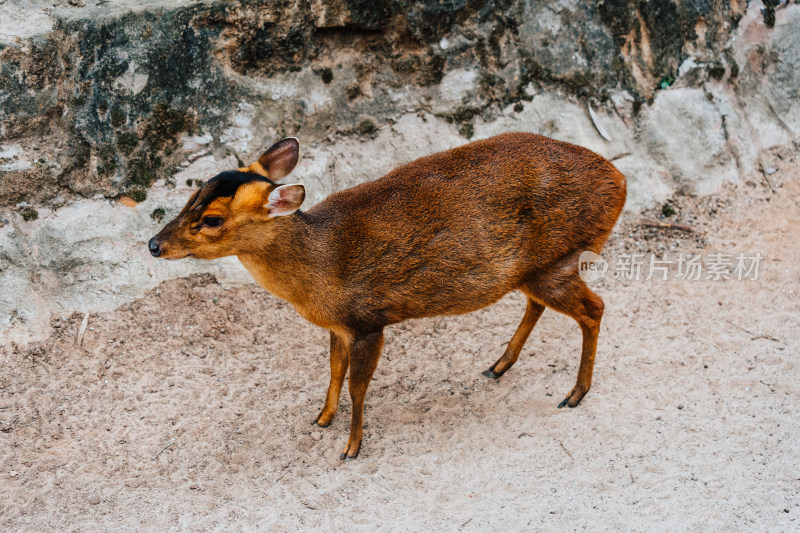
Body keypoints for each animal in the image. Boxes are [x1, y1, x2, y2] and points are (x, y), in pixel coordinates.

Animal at [148, 132, 624, 458]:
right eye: (192, 195)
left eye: (211, 219)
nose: (154, 244)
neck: (320, 268)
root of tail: (619, 179)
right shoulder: (339, 326)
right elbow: (334, 371)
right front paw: (322, 418)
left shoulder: (368, 321)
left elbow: (358, 386)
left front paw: (351, 448)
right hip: (537, 269)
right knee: (541, 304)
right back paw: (498, 366)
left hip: (562, 258)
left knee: (594, 308)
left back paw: (575, 393)